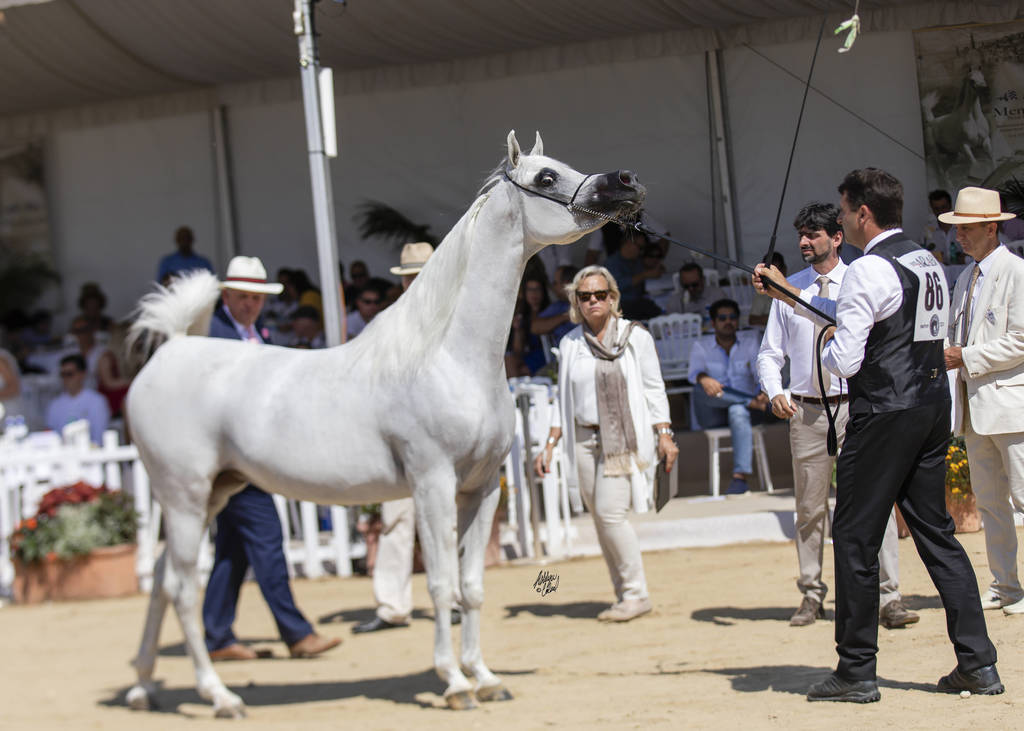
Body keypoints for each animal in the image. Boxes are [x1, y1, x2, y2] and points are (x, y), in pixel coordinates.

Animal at [122, 130, 645, 718]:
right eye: (546, 177)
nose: (626, 181)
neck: (448, 356)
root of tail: (170, 350)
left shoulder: (481, 489)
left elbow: (472, 587)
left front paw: (485, 678)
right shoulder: (433, 484)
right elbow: (440, 585)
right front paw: (454, 683)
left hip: (211, 493)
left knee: (161, 581)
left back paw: (144, 687)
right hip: (185, 497)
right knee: (183, 589)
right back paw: (219, 696)